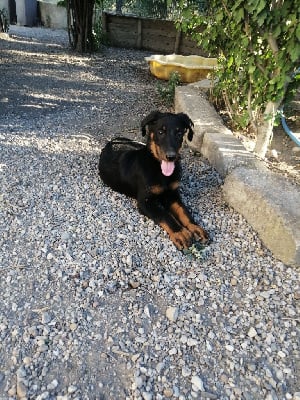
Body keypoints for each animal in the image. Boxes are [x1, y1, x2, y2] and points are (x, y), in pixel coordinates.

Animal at [98, 111, 209, 248]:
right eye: (160, 132)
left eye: (179, 133)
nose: (171, 157)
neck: (159, 169)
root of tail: (110, 144)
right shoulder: (145, 202)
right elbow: (165, 215)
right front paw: (180, 233)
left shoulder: (172, 195)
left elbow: (184, 211)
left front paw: (195, 228)